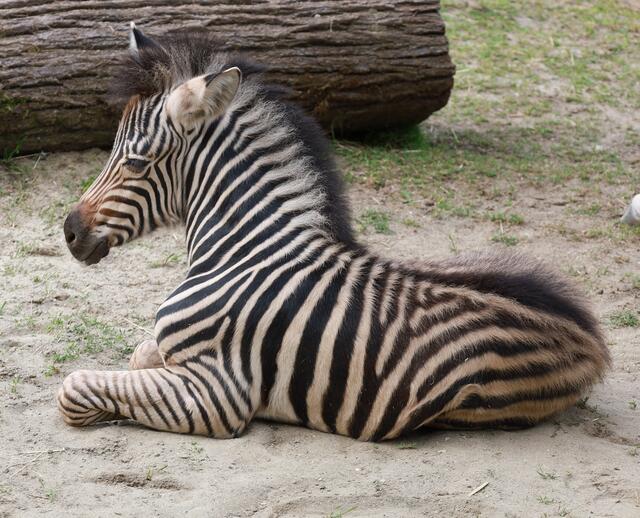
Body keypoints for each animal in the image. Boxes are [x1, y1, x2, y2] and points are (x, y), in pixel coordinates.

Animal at [58, 25, 610, 441]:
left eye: (135, 162)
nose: (69, 231)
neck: (243, 252)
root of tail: (589, 340)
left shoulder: (218, 393)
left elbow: (75, 389)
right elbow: (140, 353)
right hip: (489, 260)